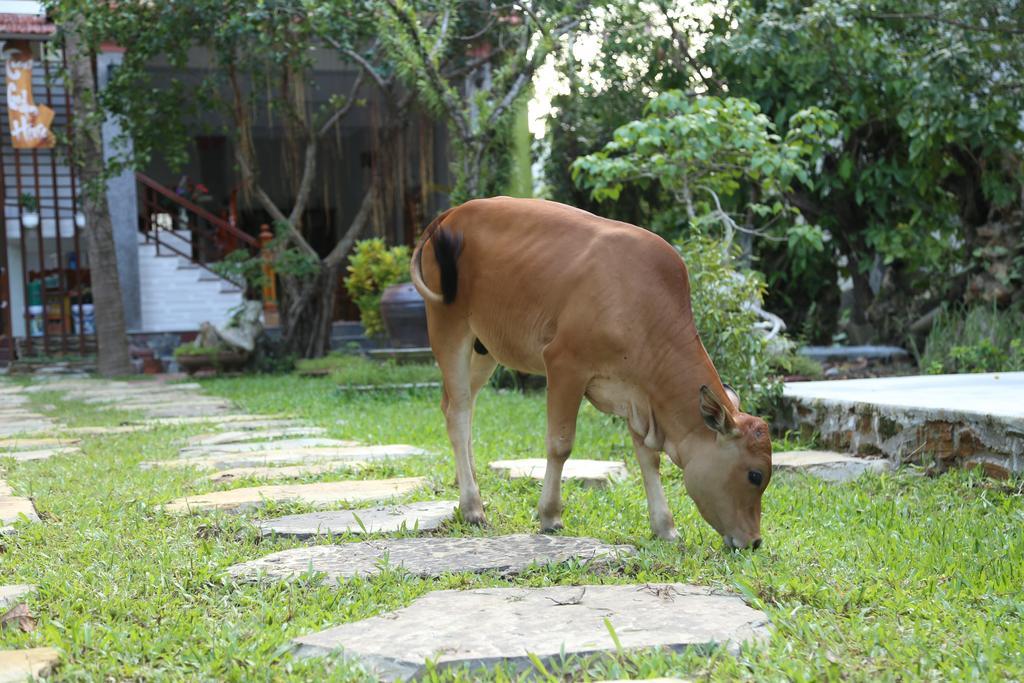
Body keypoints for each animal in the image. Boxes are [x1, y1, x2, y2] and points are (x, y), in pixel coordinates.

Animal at [411, 197, 770, 548]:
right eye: (755, 475)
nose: (754, 541)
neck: (641, 304)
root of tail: (452, 214)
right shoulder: (565, 365)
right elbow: (560, 445)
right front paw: (550, 516)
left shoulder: (638, 395)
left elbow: (649, 459)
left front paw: (665, 527)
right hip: (449, 328)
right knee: (458, 412)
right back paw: (473, 507)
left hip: (483, 349)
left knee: (459, 406)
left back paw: (467, 484)